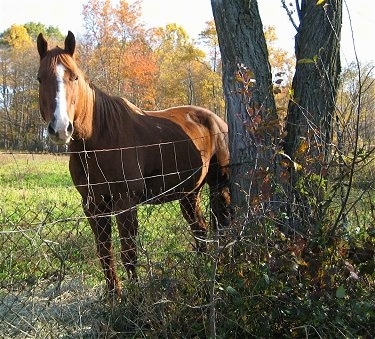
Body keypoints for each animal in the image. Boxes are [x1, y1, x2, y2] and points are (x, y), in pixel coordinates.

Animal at [37, 31, 232, 298]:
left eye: (74, 77)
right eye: (39, 79)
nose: (59, 128)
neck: (99, 139)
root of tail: (216, 120)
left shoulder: (125, 203)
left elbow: (128, 254)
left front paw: (136, 298)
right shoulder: (93, 206)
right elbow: (104, 254)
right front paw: (113, 298)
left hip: (219, 185)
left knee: (223, 226)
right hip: (189, 193)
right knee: (200, 230)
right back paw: (202, 271)